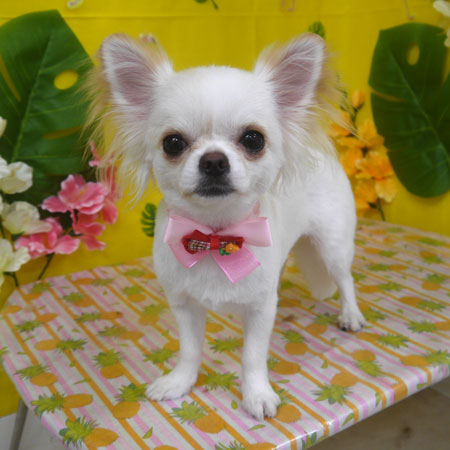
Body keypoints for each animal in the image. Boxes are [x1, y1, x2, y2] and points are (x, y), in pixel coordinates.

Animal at [86, 33, 366, 420]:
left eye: (253, 139)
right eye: (173, 143)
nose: (214, 161)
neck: (215, 235)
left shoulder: (261, 310)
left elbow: (253, 357)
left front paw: (257, 395)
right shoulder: (184, 305)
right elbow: (190, 350)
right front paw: (180, 382)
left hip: (332, 245)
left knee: (344, 278)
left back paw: (350, 314)